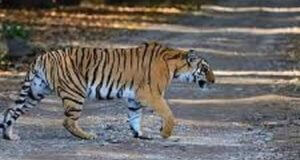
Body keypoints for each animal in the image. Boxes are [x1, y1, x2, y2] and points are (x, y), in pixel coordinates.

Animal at [0, 42, 216, 141]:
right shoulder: (152, 94)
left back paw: (10, 136)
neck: (175, 65)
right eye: (205, 68)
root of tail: (42, 56)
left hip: (35, 92)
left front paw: (140, 134)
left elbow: (135, 117)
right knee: (68, 121)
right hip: (75, 93)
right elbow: (168, 113)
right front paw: (165, 133)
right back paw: (88, 136)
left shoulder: (135, 98)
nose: (214, 81)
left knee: (10, 111)